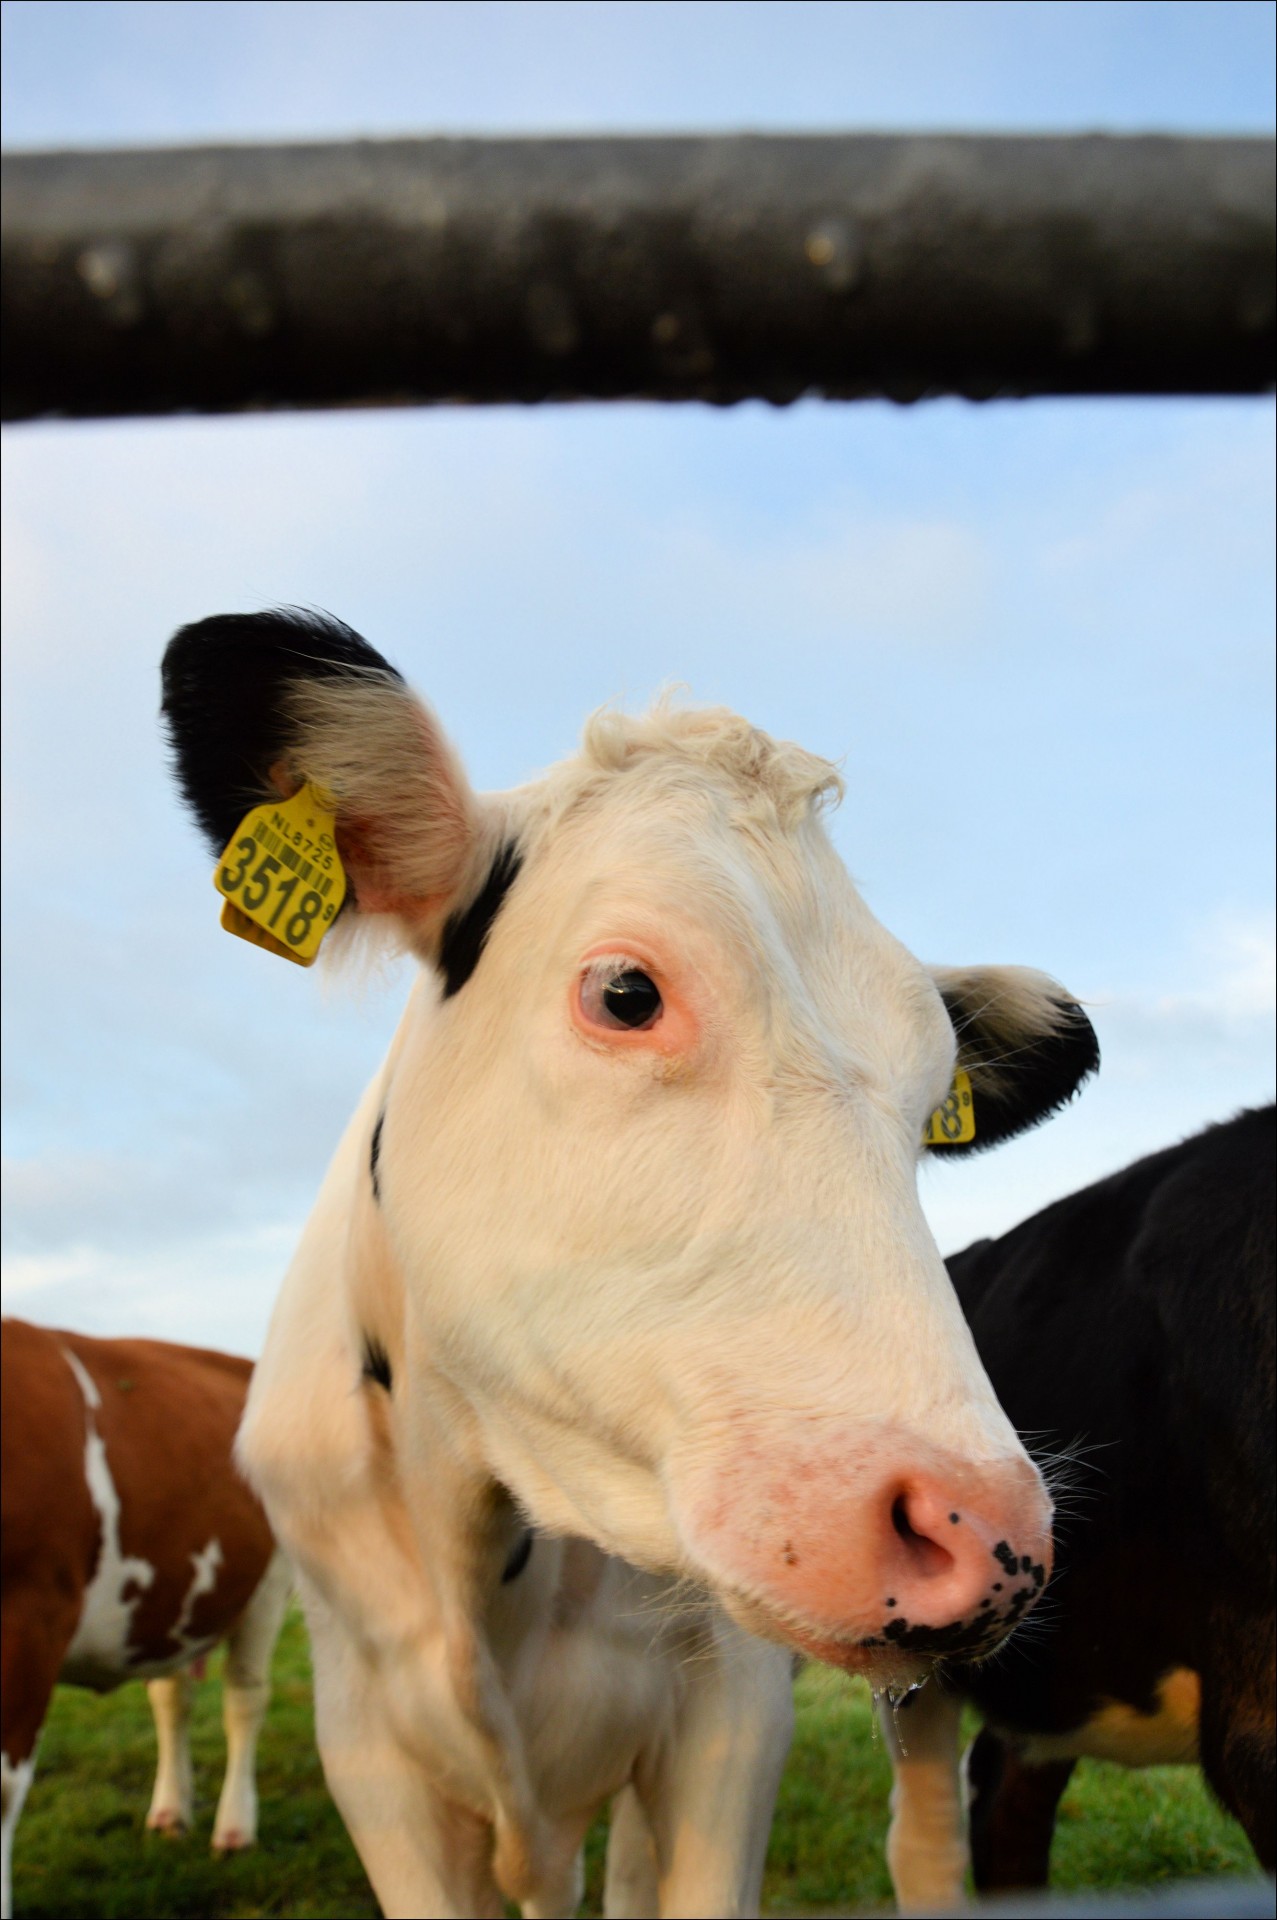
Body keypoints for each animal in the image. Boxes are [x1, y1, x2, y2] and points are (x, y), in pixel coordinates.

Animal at [0, 1320, 291, 1920]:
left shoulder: (30, 1614)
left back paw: (234, 1830)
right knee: (172, 1700)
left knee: (244, 1698)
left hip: (267, 1584)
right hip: (171, 1598)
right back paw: (170, 1813)